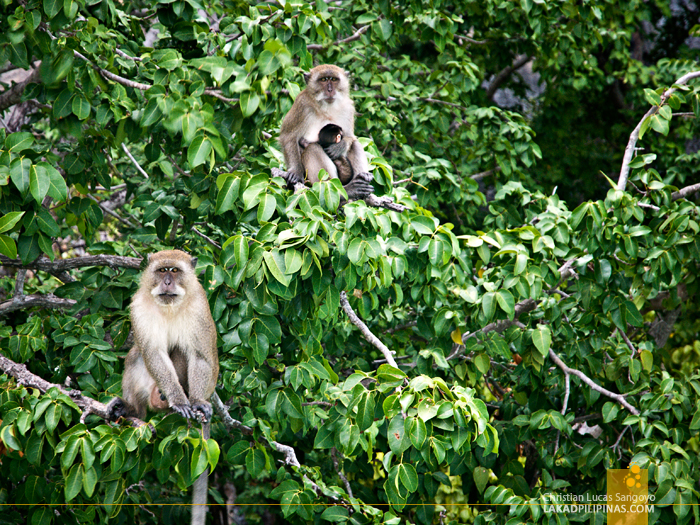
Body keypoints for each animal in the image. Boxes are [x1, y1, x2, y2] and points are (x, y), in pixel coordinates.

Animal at [106, 250, 216, 524]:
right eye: (162, 270)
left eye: (175, 271)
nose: (167, 282)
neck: (170, 308)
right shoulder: (138, 307)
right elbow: (152, 353)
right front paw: (178, 400)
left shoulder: (199, 308)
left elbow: (199, 356)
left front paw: (196, 402)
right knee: (136, 355)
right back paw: (132, 410)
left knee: (181, 348)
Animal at [280, 63, 378, 199]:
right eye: (323, 80)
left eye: (334, 79)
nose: (330, 90)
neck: (326, 108)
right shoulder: (302, 104)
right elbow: (288, 136)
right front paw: (295, 172)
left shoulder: (348, 107)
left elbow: (351, 137)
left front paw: (340, 146)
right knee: (312, 149)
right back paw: (346, 191)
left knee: (355, 144)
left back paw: (363, 179)